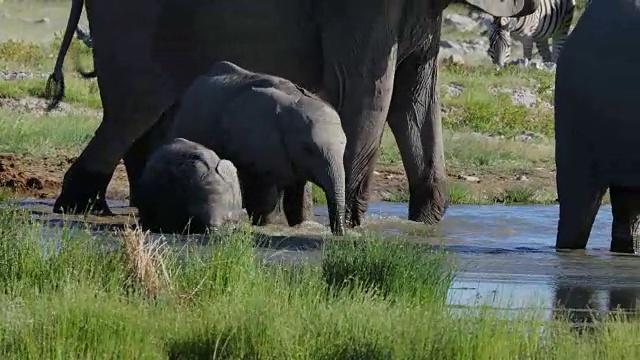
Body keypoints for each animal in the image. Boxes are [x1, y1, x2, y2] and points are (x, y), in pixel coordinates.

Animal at [165, 61, 344, 236]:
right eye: (308, 150)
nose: (339, 233)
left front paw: (297, 224)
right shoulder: (255, 144)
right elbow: (265, 188)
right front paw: (267, 224)